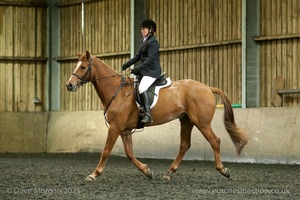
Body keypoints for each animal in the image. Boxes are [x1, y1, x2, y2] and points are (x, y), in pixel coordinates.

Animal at [65, 50, 248, 181]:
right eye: (75, 66)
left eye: (83, 67)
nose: (69, 85)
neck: (116, 90)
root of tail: (208, 87)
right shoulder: (124, 130)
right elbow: (129, 153)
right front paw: (147, 171)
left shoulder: (115, 128)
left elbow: (106, 151)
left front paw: (94, 174)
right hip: (186, 121)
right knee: (184, 145)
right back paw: (169, 173)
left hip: (202, 123)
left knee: (215, 141)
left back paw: (223, 170)